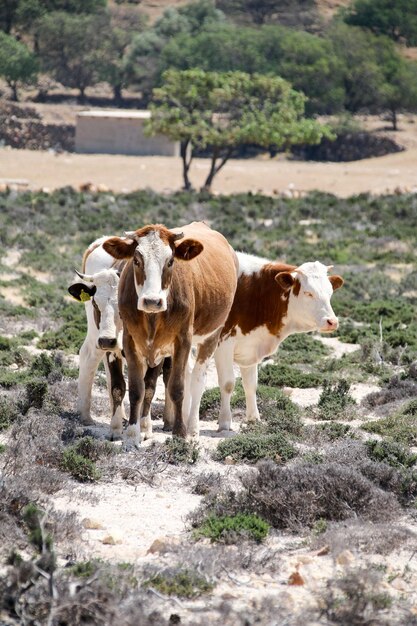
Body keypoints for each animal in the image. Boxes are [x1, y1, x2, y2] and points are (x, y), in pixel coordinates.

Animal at [101, 221, 237, 444]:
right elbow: (136, 389)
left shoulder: (183, 340)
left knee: (197, 381)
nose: (152, 301)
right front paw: (132, 434)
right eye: (137, 260)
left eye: (171, 261)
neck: (152, 317)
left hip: (212, 336)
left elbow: (177, 387)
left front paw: (180, 432)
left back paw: (193, 429)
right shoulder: (130, 341)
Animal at [213, 252, 342, 428]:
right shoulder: (223, 344)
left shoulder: (249, 347)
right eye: (308, 293)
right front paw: (225, 422)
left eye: (330, 293)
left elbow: (250, 384)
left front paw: (254, 418)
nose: (332, 321)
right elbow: (228, 383)